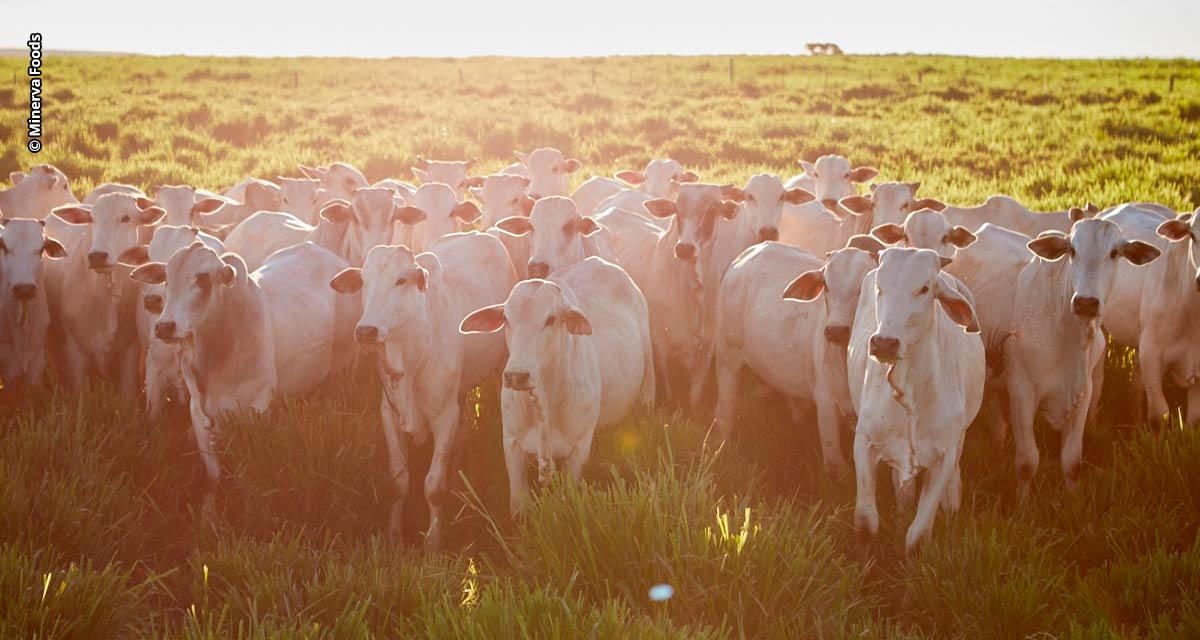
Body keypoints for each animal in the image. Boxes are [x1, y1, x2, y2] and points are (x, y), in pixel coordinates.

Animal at [328, 231, 516, 547]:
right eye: (363, 281)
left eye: (401, 280)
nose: (366, 330)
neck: (412, 351)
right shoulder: (389, 412)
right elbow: (399, 480)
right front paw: (393, 535)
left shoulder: (444, 416)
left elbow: (433, 485)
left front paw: (433, 540)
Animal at [458, 255, 652, 513]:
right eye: (506, 318)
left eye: (550, 319)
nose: (517, 376)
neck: (544, 402)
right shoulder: (511, 444)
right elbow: (518, 504)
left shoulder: (579, 450)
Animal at [710, 242, 873, 470]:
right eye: (826, 285)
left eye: (864, 286)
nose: (836, 330)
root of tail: (743, 257)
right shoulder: (826, 403)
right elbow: (834, 466)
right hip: (727, 357)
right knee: (724, 412)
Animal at [844, 247, 984, 552]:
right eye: (879, 287)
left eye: (924, 288)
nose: (884, 343)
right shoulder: (865, 443)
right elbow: (866, 522)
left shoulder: (943, 457)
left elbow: (918, 535)